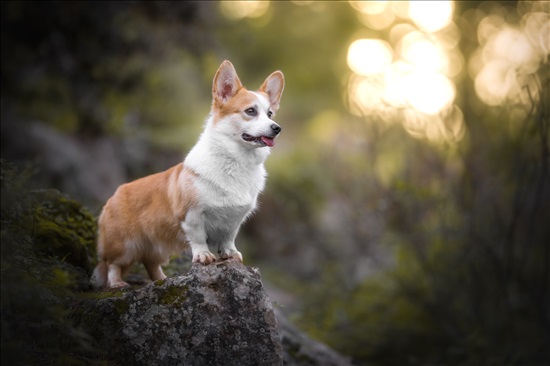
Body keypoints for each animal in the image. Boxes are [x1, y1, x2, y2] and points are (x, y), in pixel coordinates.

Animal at [91, 60, 286, 288]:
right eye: (250, 111)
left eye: (270, 114)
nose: (277, 128)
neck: (236, 162)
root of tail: (113, 196)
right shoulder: (191, 215)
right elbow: (199, 237)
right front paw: (203, 256)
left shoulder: (234, 219)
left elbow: (229, 237)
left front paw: (230, 253)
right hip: (124, 246)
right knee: (113, 264)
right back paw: (117, 283)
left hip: (156, 248)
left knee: (150, 263)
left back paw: (162, 280)